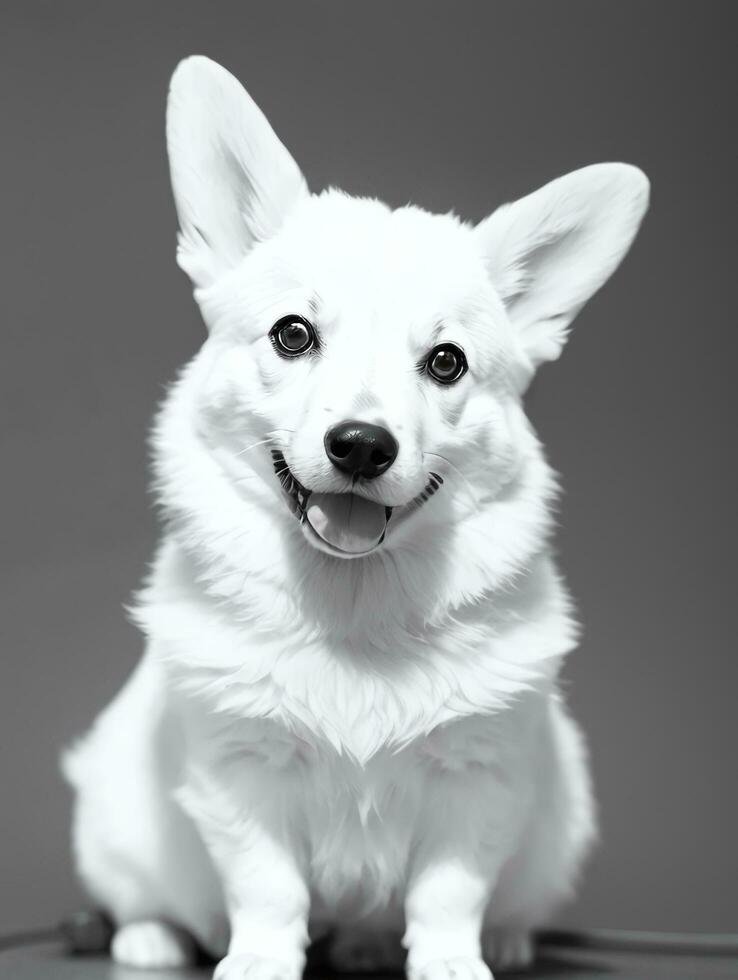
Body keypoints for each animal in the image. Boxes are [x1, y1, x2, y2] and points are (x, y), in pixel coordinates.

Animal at [66, 57, 648, 980]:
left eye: (446, 362)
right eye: (292, 335)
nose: (363, 446)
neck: (354, 599)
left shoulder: (480, 782)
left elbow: (448, 894)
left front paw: (452, 961)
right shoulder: (240, 776)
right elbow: (268, 890)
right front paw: (258, 961)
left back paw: (488, 940)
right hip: (113, 814)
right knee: (146, 899)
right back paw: (151, 938)